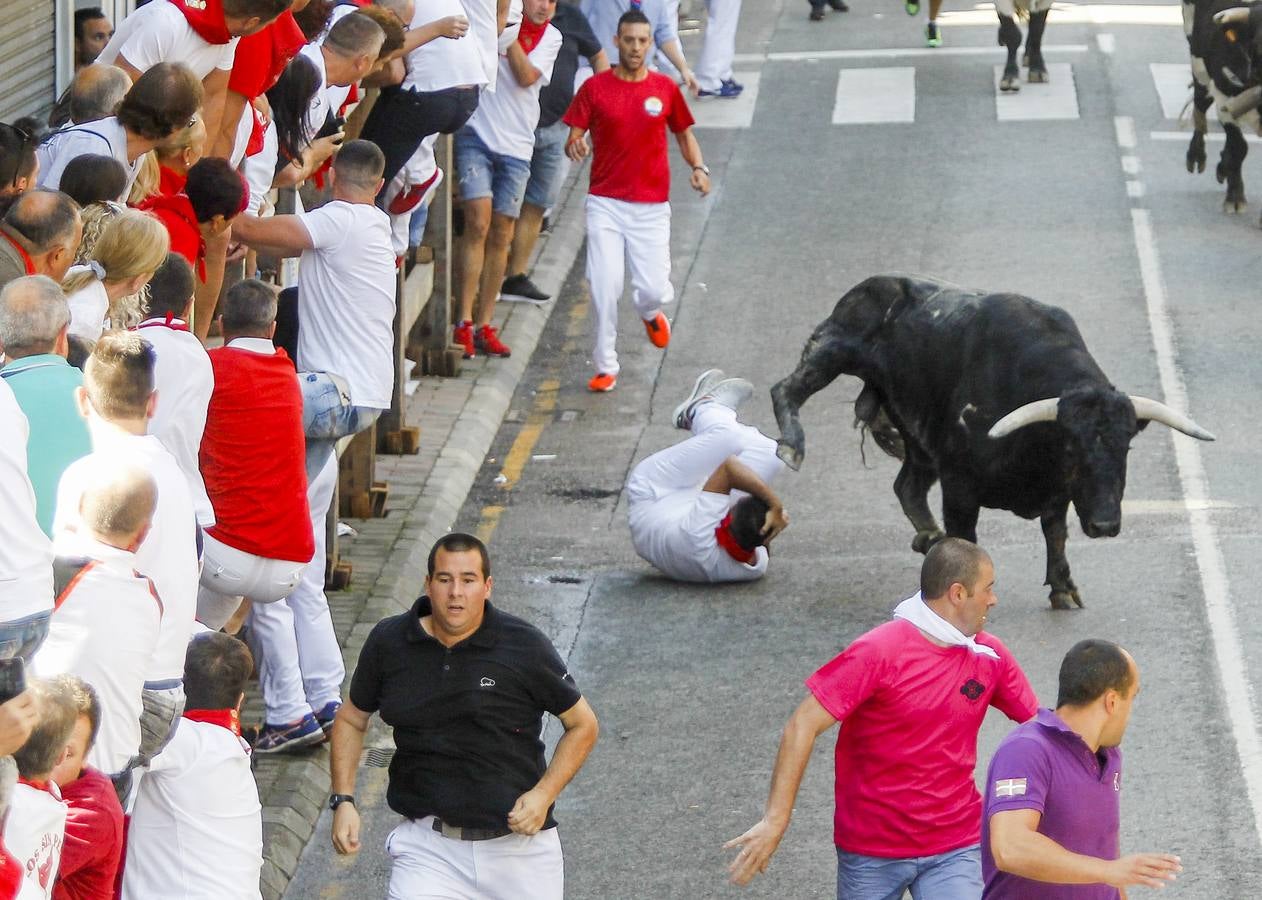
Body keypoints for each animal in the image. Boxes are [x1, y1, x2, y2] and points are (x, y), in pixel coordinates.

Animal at [762, 275, 1216, 610]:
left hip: (918, 437)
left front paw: (1063, 588)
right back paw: (792, 446)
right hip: (832, 348)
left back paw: (928, 536)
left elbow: (1055, 533)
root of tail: (875, 284)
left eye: (1125, 447)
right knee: (786, 387)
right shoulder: (960, 485)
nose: (1105, 524)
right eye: (1073, 447)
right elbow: (966, 541)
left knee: (907, 485)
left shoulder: (1057, 494)